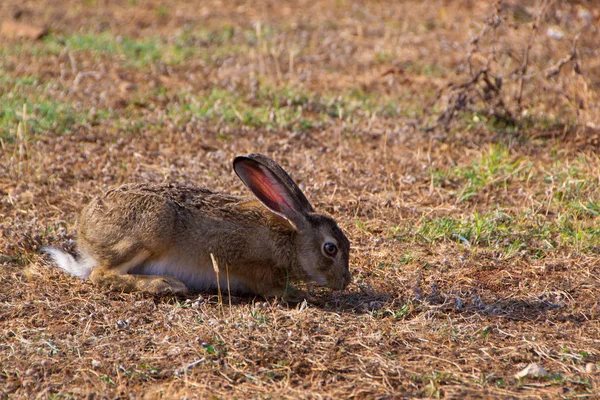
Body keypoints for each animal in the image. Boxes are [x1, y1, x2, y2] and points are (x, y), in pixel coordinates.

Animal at [44, 153, 352, 300]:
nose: (345, 282)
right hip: (153, 228)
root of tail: (85, 237)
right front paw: (301, 294)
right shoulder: (251, 267)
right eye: (331, 249)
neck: (291, 239)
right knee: (101, 274)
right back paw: (165, 285)